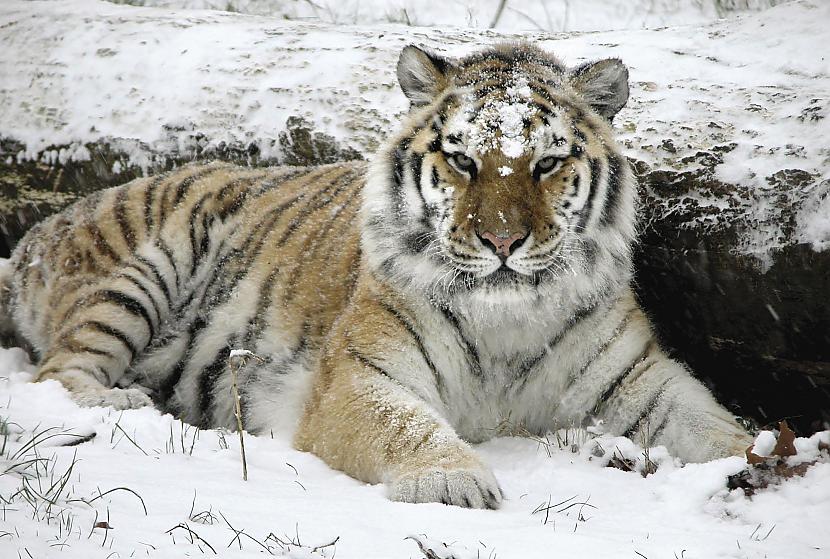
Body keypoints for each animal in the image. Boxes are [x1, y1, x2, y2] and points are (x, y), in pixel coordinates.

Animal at [1, 42, 752, 508]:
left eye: (545, 163)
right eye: (463, 160)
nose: (502, 240)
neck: (507, 319)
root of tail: (41, 229)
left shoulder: (640, 382)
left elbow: (713, 426)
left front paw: (761, 465)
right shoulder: (360, 376)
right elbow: (407, 426)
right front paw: (453, 480)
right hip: (144, 271)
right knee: (56, 373)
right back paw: (123, 403)